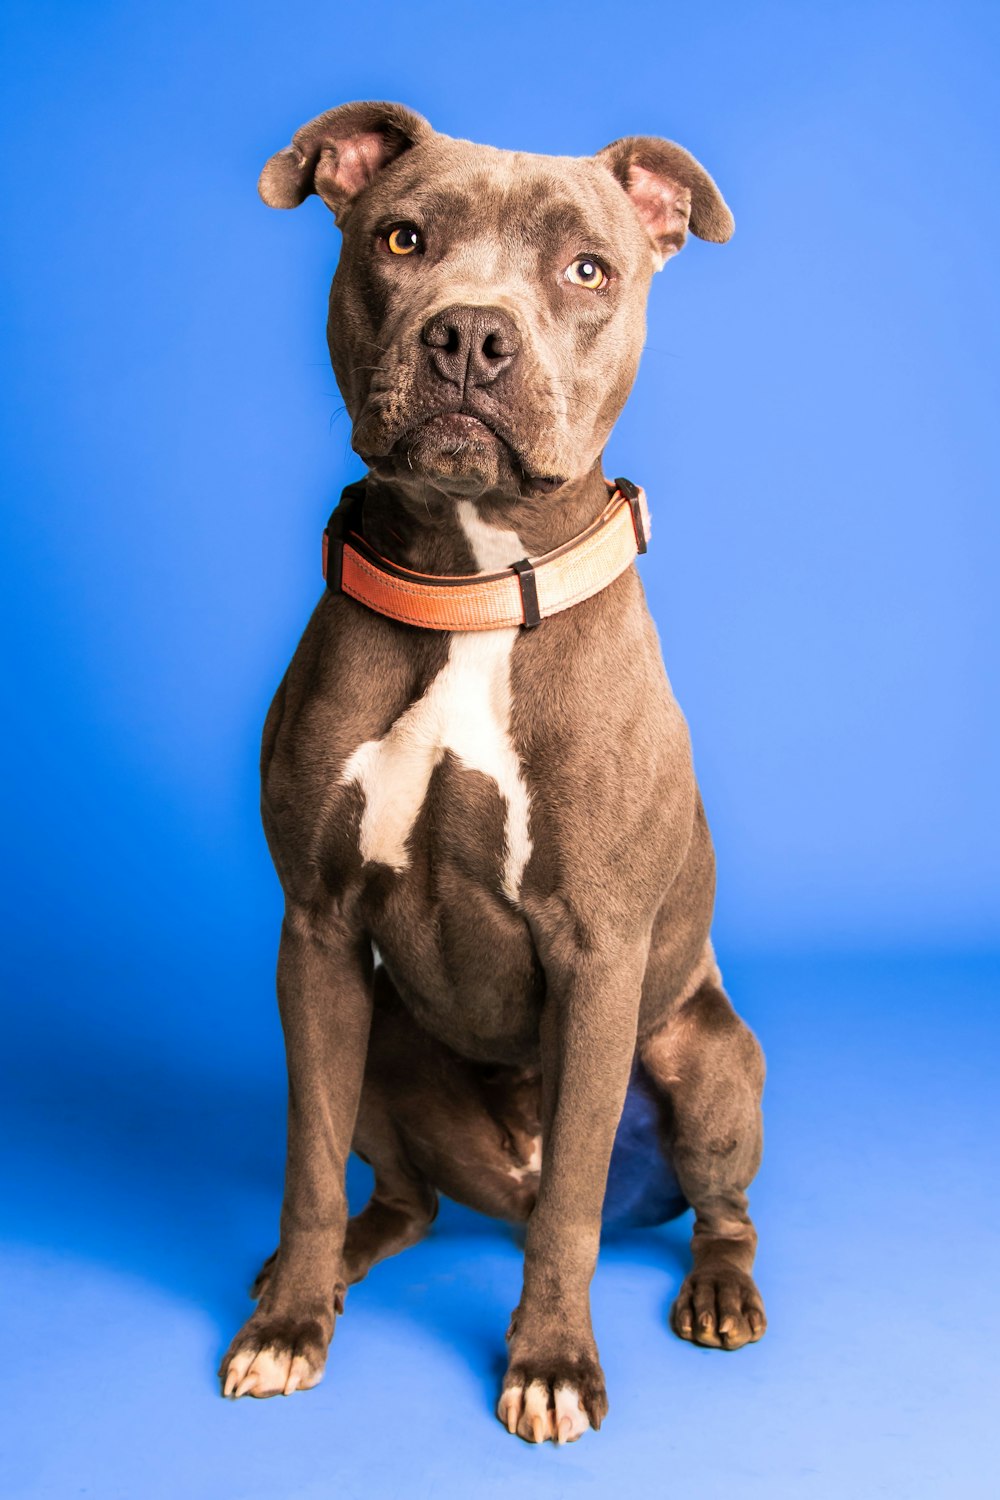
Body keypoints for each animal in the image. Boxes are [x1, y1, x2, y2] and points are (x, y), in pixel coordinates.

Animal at [218, 102, 767, 1440]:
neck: (468, 581)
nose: (469, 332)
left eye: (588, 270)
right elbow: (306, 1164)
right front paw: (285, 1326)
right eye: (402, 238)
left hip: (712, 1061)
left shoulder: (599, 954)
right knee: (400, 1198)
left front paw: (551, 1361)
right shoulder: (314, 934)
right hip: (377, 1038)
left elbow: (572, 1200)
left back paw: (718, 1292)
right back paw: (325, 1272)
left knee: (707, 1211)